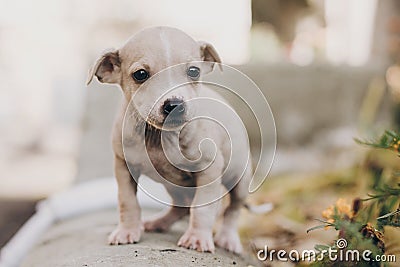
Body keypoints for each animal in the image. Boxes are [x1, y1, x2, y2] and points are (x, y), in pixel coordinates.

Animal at [87, 26, 252, 254]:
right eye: (140, 74)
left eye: (194, 71)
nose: (174, 104)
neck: (158, 137)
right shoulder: (123, 167)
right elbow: (127, 201)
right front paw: (127, 231)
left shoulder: (209, 171)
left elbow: (203, 208)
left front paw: (197, 238)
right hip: (173, 186)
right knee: (180, 207)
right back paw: (159, 222)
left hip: (240, 182)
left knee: (232, 210)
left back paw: (228, 238)